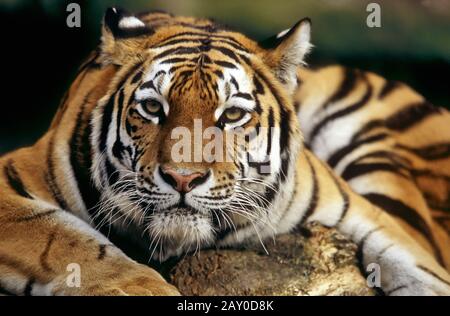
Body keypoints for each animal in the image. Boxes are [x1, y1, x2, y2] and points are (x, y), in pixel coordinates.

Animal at [0, 8, 448, 296]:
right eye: (153, 108)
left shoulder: (372, 220)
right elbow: (67, 242)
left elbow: (420, 271)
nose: (183, 178)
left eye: (231, 114)